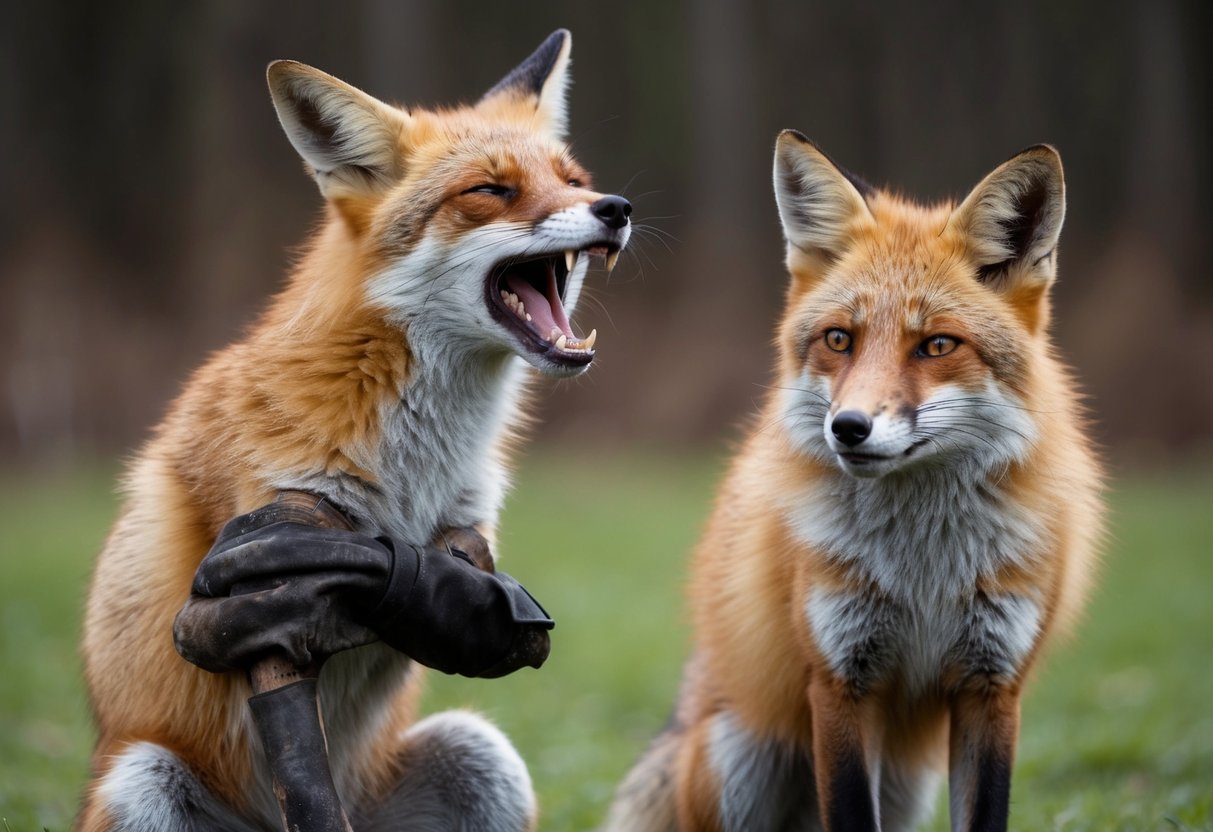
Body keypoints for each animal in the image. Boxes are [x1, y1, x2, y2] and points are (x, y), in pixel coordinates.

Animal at [77, 30, 631, 831]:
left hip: (484, 758)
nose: (616, 207)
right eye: (490, 191)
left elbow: (446, 592)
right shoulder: (262, 559)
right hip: (140, 779)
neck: (414, 463)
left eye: (574, 180)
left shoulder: (465, 537)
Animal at [605, 132, 1102, 832]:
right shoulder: (841, 682)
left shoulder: (993, 686)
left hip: (906, 784)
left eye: (937, 345)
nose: (848, 427)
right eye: (840, 338)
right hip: (739, 759)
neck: (925, 572)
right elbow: (847, 811)